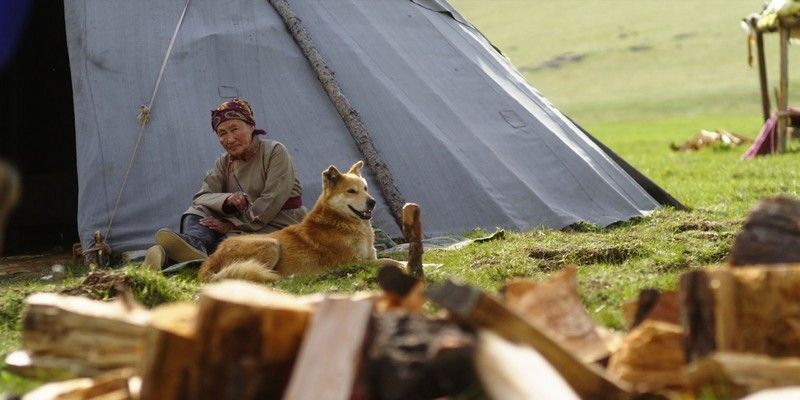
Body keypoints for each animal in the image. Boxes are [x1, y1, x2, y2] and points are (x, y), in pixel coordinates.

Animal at [198, 161, 404, 282]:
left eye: (365, 188)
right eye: (351, 191)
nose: (373, 202)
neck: (339, 221)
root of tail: (210, 261)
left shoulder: (370, 258)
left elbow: (391, 259)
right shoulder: (354, 262)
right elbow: (390, 261)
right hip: (271, 244)